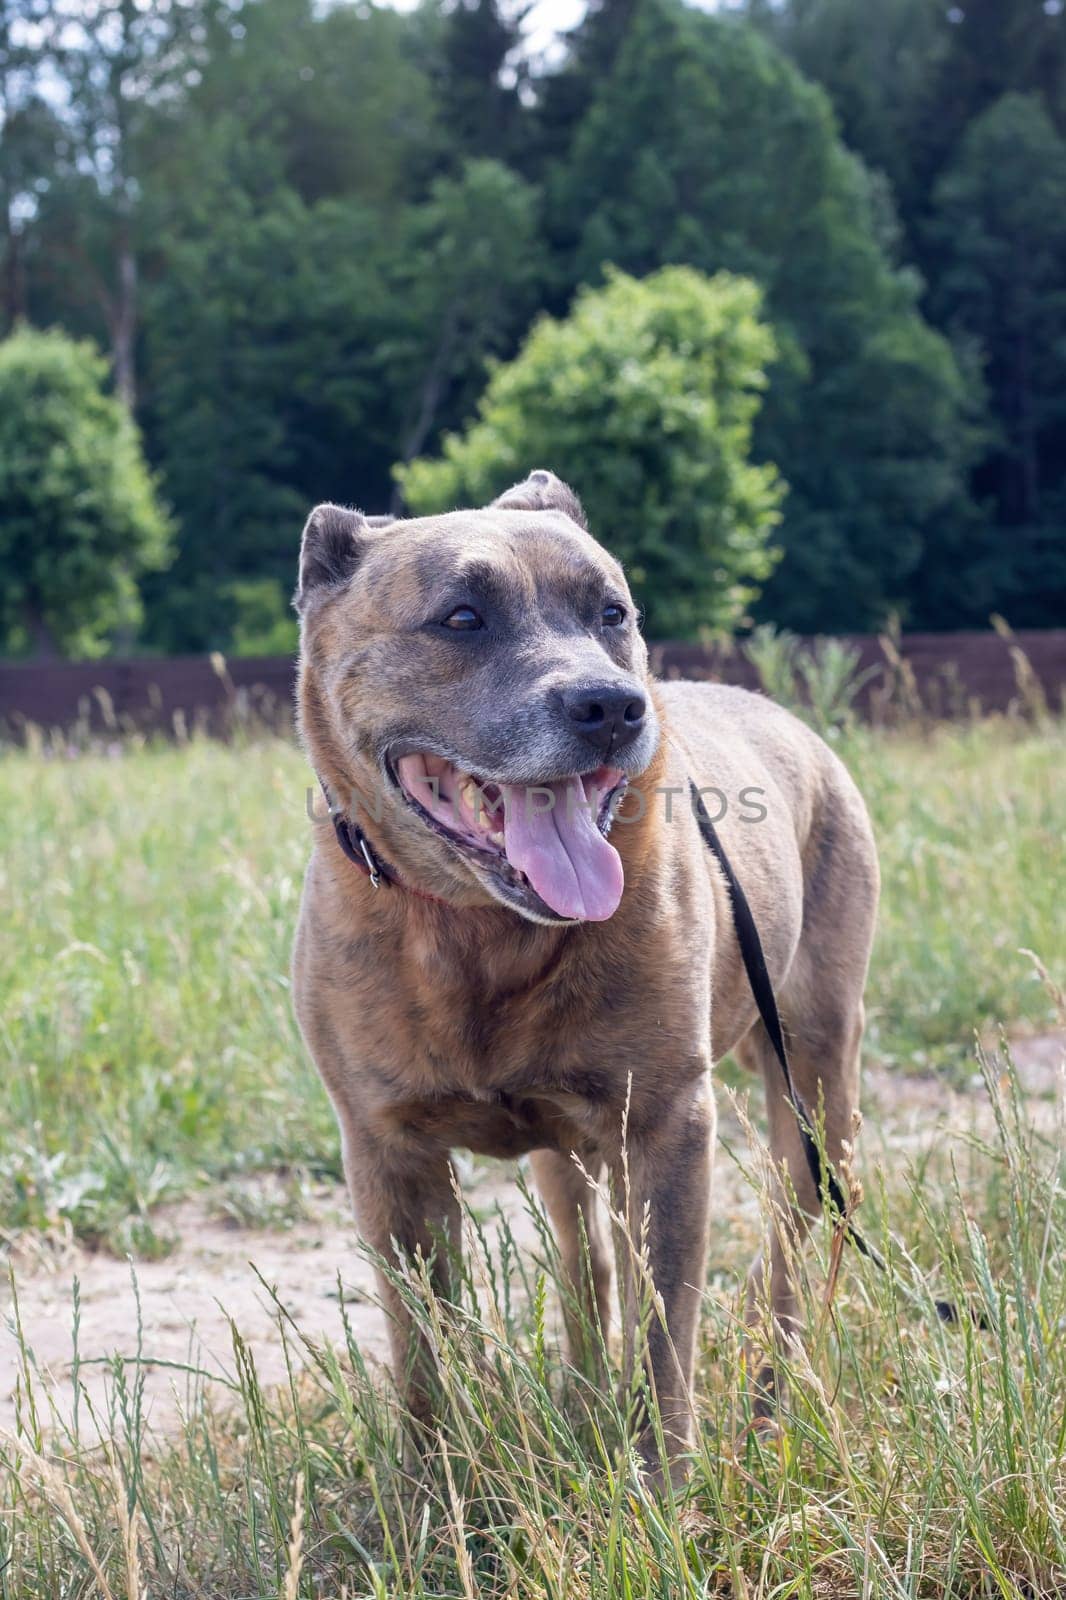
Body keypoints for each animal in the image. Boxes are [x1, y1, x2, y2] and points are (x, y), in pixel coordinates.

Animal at [288, 467, 870, 1478]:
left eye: (612, 612)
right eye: (463, 617)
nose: (611, 706)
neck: (483, 933)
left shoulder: (665, 1124)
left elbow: (666, 1327)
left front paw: (663, 1485)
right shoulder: (387, 1151)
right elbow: (423, 1348)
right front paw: (434, 1494)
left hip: (814, 1074)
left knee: (796, 1238)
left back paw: (772, 1399)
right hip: (570, 1152)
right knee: (583, 1261)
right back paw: (585, 1395)